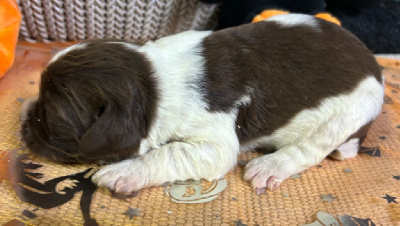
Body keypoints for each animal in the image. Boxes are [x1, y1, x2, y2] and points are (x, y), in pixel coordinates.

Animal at [19, 13, 384, 194]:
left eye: (50, 115)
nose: (22, 119)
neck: (153, 83)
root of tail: (373, 63)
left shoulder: (214, 142)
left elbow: (166, 152)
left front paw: (121, 173)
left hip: (353, 108)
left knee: (314, 147)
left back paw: (269, 167)